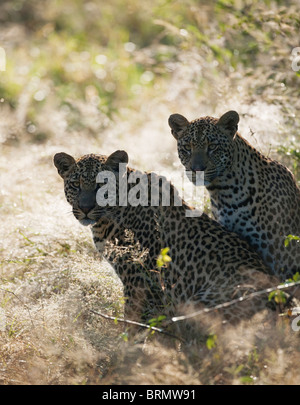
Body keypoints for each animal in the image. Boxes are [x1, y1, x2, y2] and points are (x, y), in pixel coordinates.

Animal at [54, 148, 298, 326]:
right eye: (75, 185)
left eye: (101, 185)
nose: (85, 208)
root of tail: (282, 303)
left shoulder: (139, 278)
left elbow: (134, 321)